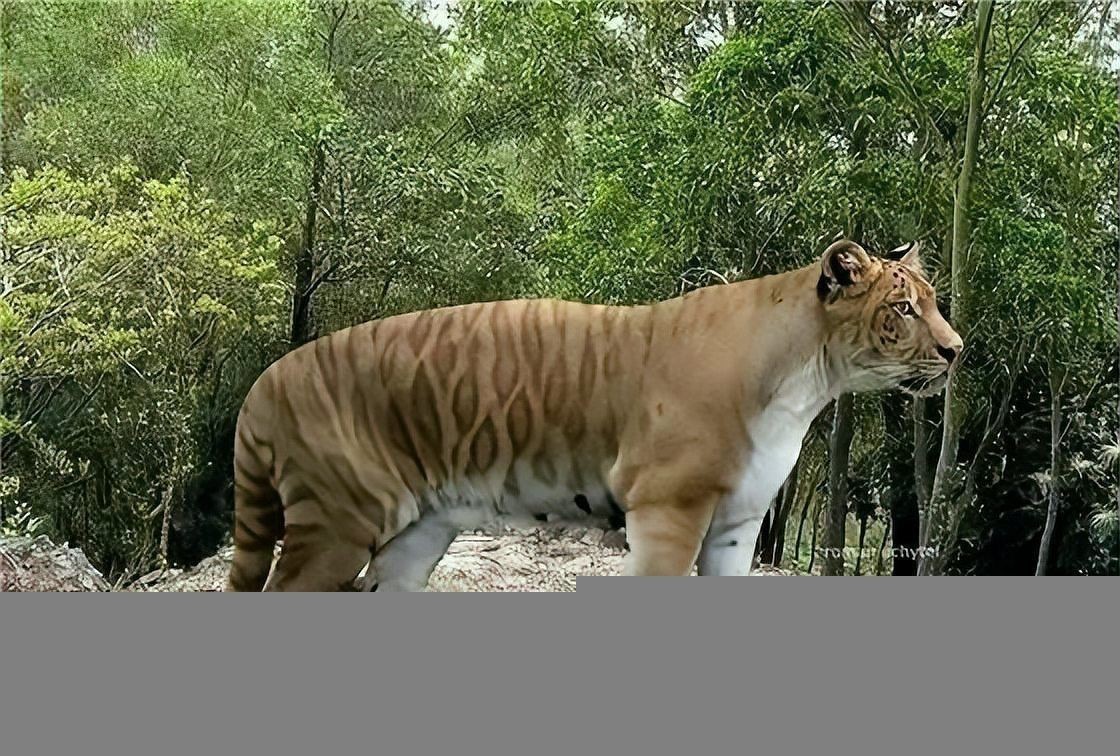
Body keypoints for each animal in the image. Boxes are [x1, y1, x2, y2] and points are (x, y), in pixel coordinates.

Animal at [226, 239, 962, 590]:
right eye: (903, 309)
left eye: (932, 302)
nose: (957, 350)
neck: (808, 383)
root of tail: (264, 380)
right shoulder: (668, 509)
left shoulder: (738, 524)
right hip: (336, 521)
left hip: (414, 536)